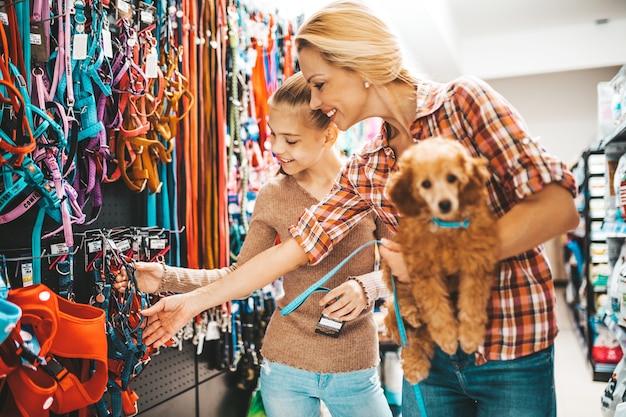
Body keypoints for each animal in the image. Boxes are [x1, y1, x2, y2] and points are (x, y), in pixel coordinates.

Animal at [380, 136, 498, 384]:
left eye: (452, 178)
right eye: (425, 184)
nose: (445, 204)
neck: (445, 226)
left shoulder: (476, 262)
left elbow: (472, 304)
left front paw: (469, 337)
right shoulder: (423, 271)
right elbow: (436, 310)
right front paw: (448, 338)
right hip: (391, 280)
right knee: (406, 322)